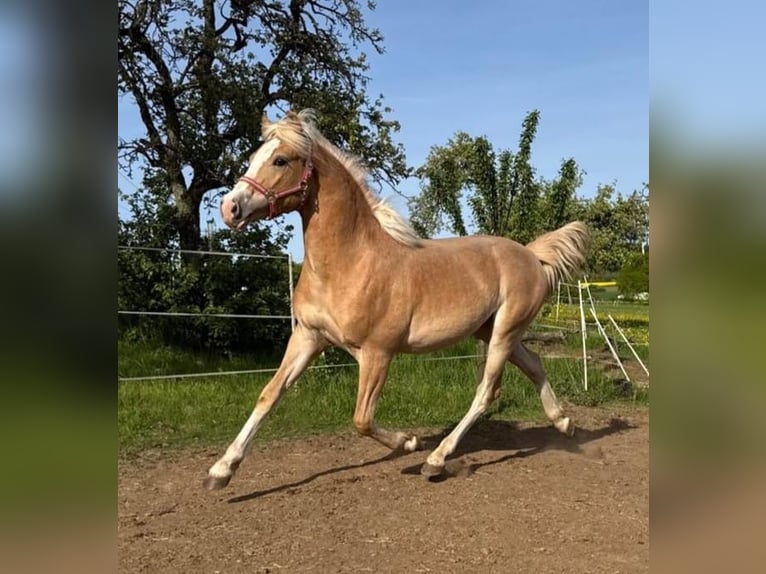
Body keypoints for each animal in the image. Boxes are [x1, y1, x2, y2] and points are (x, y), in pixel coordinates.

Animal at [205, 109, 590, 489]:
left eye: (281, 159)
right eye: (253, 157)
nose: (229, 208)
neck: (349, 263)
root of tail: (531, 255)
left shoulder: (377, 353)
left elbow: (361, 418)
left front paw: (410, 442)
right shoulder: (308, 337)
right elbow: (269, 395)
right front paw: (221, 470)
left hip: (505, 332)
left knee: (486, 392)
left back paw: (436, 461)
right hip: (491, 330)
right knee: (533, 364)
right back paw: (564, 423)